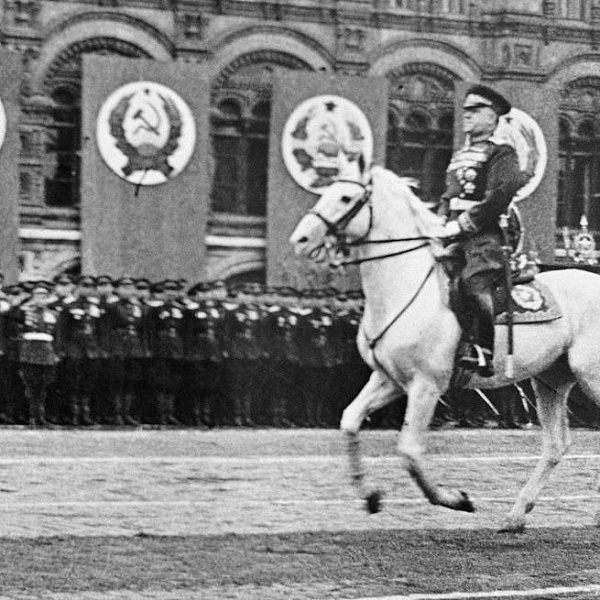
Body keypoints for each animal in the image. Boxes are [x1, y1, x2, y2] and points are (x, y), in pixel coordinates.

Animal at [290, 162, 600, 532]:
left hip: (590, 376)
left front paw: (455, 499)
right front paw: (371, 495)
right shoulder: (388, 380)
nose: (301, 240)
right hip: (551, 380)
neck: (405, 286)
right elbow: (350, 421)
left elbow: (409, 451)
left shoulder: (427, 385)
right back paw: (515, 516)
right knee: (556, 444)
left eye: (346, 197)